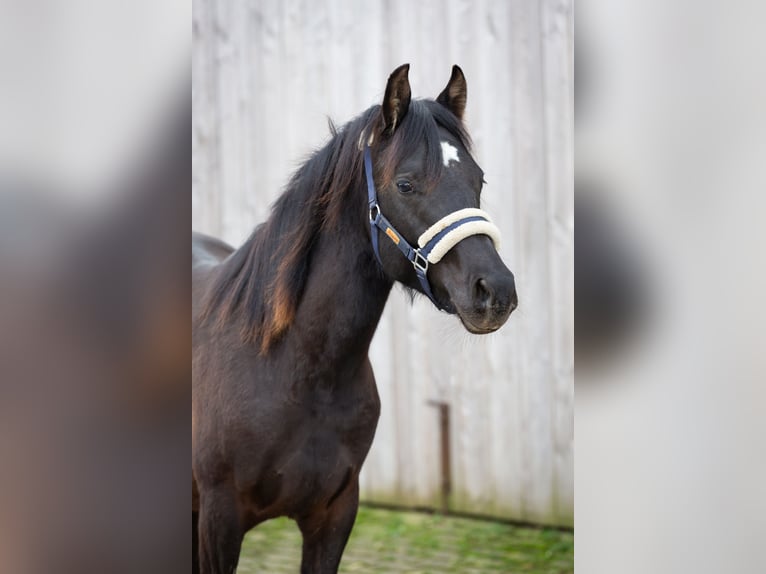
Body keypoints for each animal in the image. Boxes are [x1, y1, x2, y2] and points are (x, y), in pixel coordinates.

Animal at [192, 65, 520, 572]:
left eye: (479, 181)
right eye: (405, 184)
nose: (496, 291)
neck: (298, 370)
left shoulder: (335, 515)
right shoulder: (218, 521)